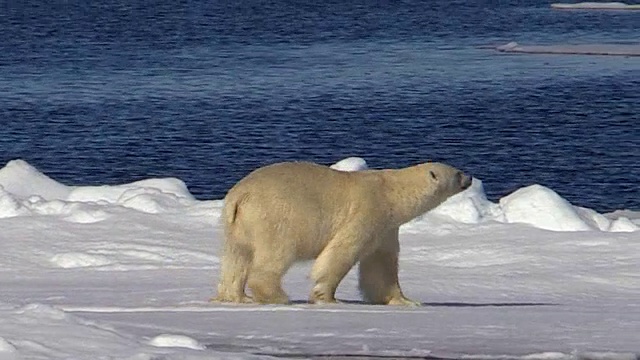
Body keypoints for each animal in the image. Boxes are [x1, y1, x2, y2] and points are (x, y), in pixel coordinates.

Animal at [212, 162, 472, 306]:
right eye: (457, 172)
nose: (470, 177)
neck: (392, 192)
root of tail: (239, 196)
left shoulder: (386, 228)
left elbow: (381, 266)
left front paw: (406, 300)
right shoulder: (368, 211)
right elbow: (341, 252)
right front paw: (326, 297)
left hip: (237, 224)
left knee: (236, 258)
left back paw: (235, 296)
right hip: (276, 217)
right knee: (274, 255)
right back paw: (277, 296)